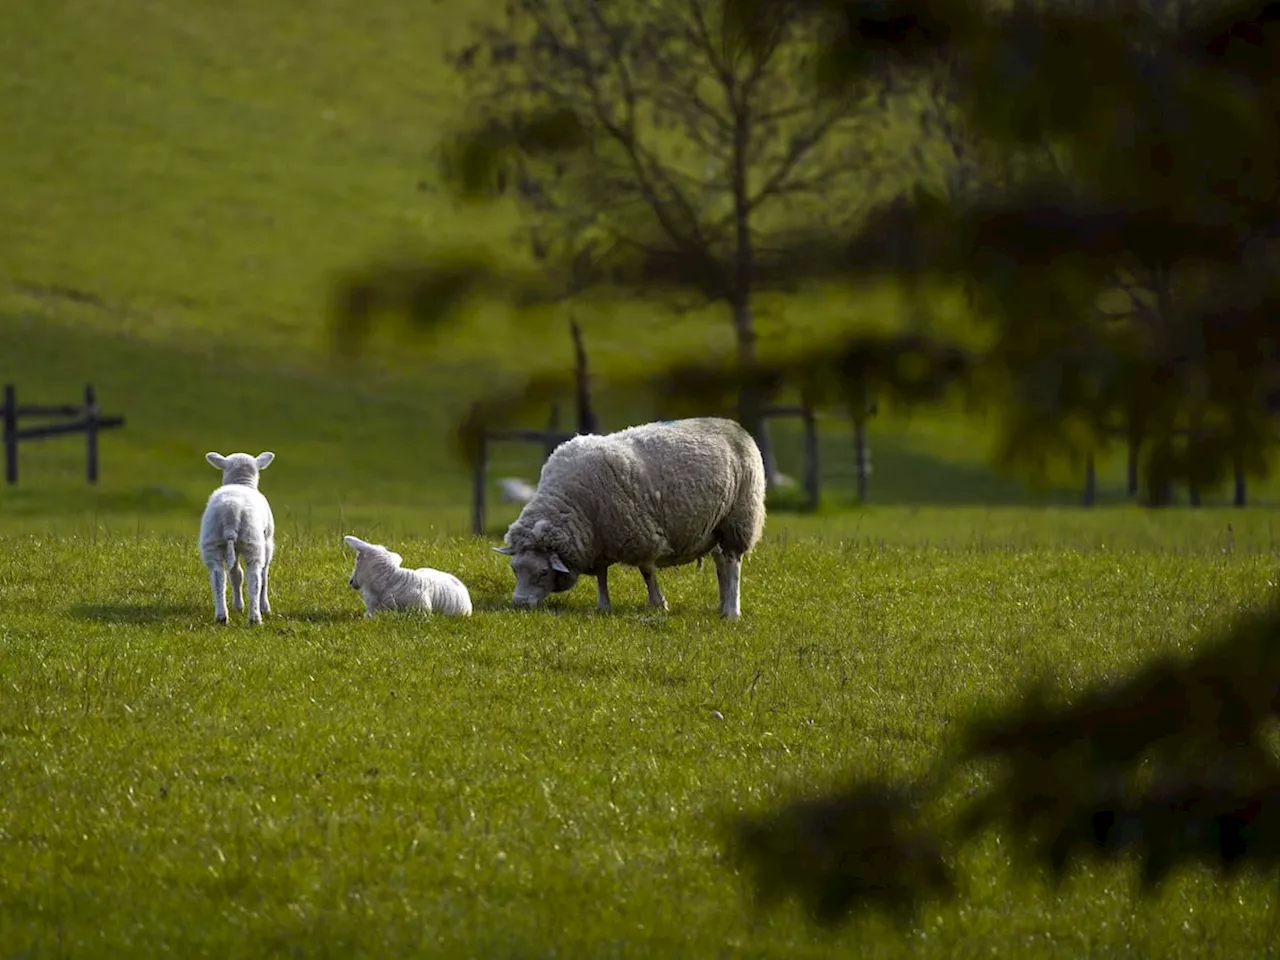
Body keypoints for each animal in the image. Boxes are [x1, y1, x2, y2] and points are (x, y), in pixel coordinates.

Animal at [197, 453, 275, 627]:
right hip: (253, 541)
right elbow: (264, 576)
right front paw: (265, 607)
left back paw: (221, 616)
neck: (241, 481)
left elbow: (235, 574)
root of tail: (231, 513)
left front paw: (238, 606)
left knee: (219, 577)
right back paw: (255, 617)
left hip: (212, 541)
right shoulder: (267, 541)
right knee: (255, 579)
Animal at [491, 417, 762, 619]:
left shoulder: (641, 534)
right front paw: (603, 606)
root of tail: (732, 424)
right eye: (514, 569)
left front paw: (658, 603)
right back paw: (722, 605)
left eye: (543, 572)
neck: (570, 501)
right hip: (715, 528)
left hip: (739, 518)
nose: (519, 604)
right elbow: (601, 574)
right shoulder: (597, 539)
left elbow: (647, 572)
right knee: (721, 563)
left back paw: (732, 612)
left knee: (733, 563)